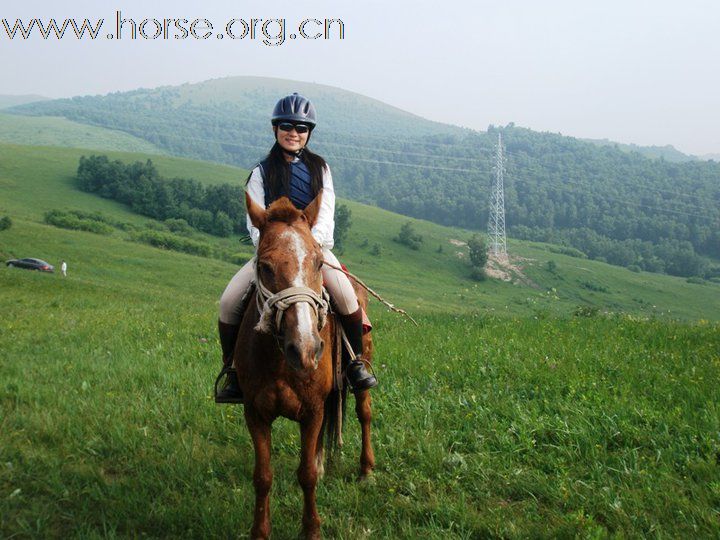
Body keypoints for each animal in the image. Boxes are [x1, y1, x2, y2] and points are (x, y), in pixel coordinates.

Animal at [235, 192, 374, 536]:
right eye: (265, 266)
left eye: (318, 263)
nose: (306, 348)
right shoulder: (255, 413)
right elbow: (263, 477)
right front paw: (260, 531)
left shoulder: (311, 410)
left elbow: (306, 474)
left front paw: (312, 529)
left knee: (364, 412)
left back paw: (366, 470)